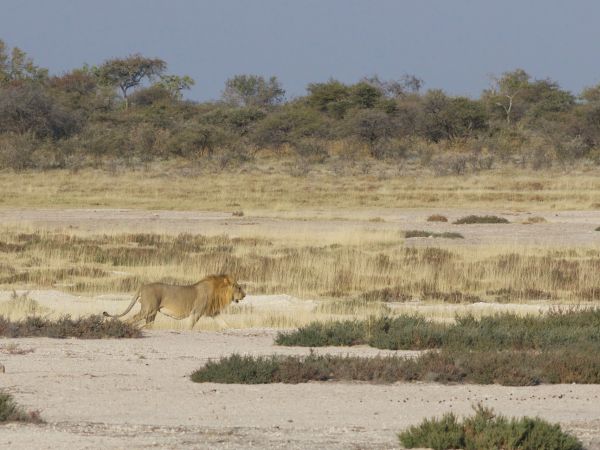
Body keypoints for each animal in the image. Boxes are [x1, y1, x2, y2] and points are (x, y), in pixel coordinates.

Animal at [103, 272, 246, 328]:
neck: (218, 291)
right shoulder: (196, 312)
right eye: (238, 287)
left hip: (152, 313)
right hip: (148, 310)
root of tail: (143, 286)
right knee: (131, 319)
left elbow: (225, 325)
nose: (245, 295)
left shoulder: (214, 313)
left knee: (148, 324)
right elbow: (190, 326)